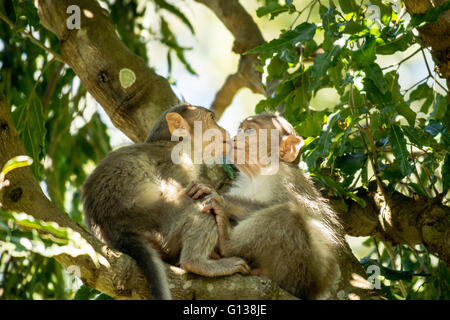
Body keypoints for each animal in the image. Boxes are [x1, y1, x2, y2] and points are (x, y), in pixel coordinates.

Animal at [81, 105, 250, 300]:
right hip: (158, 223)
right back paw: (197, 262)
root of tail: (115, 232)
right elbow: (174, 190)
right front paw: (205, 189)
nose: (225, 130)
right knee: (198, 205)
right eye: (212, 119)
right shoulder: (178, 161)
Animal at [186, 114, 344, 298]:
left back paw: (226, 243)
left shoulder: (286, 179)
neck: (259, 174)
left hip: (300, 270)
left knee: (288, 214)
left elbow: (285, 205)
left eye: (249, 131)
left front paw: (223, 199)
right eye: (240, 130)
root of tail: (313, 290)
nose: (235, 138)